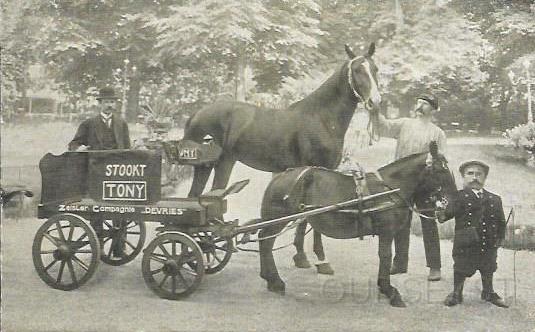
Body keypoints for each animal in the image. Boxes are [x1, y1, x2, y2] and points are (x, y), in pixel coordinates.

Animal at [184, 42, 382, 274]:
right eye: (358, 70)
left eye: (375, 69)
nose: (376, 102)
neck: (321, 118)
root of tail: (197, 114)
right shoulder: (315, 170)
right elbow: (309, 216)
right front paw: (318, 260)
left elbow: (306, 217)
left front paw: (302, 256)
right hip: (210, 165)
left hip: (218, 164)